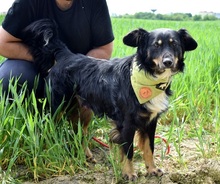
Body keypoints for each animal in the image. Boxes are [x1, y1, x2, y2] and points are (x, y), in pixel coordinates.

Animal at [22, 19, 198, 180]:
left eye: (174, 44)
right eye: (156, 45)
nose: (168, 62)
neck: (148, 77)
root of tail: (66, 55)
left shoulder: (150, 121)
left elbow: (149, 147)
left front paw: (152, 169)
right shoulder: (127, 123)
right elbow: (128, 151)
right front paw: (129, 173)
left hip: (84, 110)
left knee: (80, 133)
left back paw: (86, 155)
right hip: (56, 107)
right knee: (47, 129)